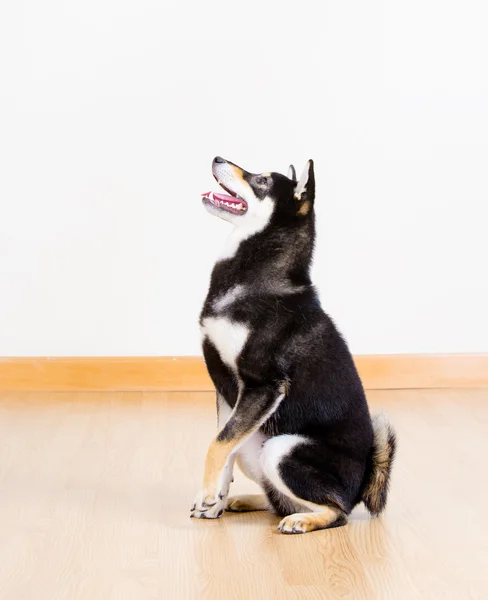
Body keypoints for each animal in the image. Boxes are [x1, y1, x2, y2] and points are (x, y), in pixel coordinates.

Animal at [191, 156, 396, 536]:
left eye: (261, 181)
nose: (217, 158)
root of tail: (360, 486)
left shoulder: (262, 386)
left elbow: (217, 443)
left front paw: (208, 492)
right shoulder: (227, 389)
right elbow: (223, 442)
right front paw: (215, 500)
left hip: (282, 448)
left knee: (337, 511)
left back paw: (304, 520)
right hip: (258, 444)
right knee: (278, 500)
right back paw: (250, 501)